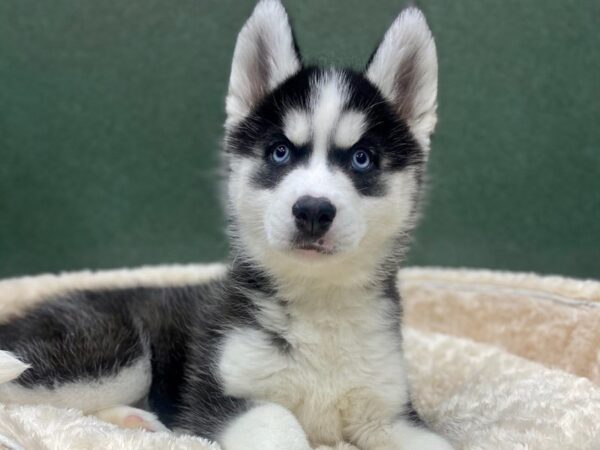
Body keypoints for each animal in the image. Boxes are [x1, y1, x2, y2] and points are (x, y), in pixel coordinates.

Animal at [0, 1, 450, 448]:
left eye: (362, 159)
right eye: (280, 152)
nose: (312, 211)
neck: (317, 302)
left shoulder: (389, 413)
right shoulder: (215, 398)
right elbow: (279, 420)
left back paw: (135, 421)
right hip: (114, 356)